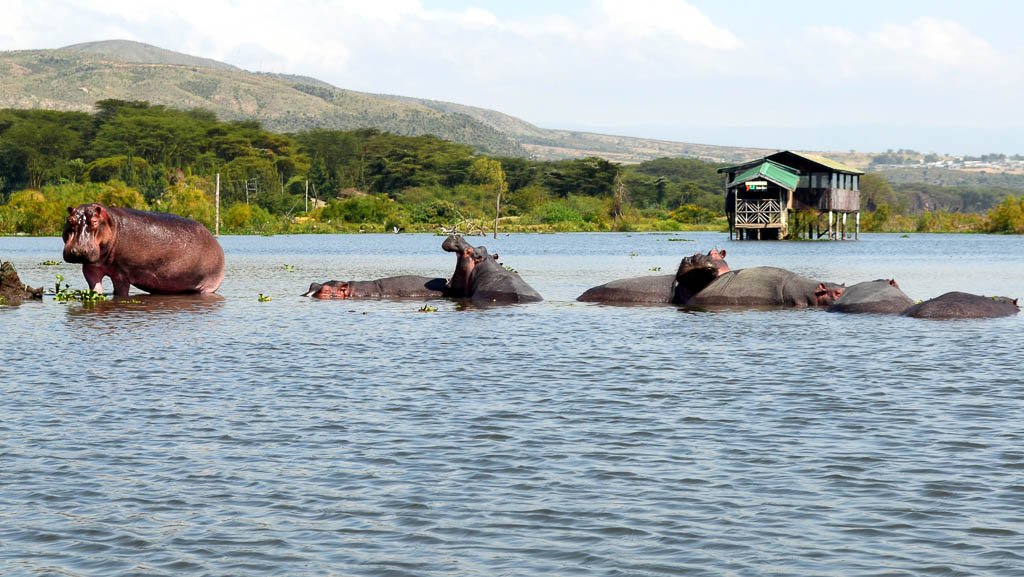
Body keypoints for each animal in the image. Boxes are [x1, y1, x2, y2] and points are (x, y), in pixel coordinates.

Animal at [62, 203, 224, 296]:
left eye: (95, 221)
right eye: (69, 220)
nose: (78, 250)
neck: (111, 224)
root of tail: (215, 241)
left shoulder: (121, 273)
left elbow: (120, 292)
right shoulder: (91, 268)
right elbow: (95, 289)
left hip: (208, 285)